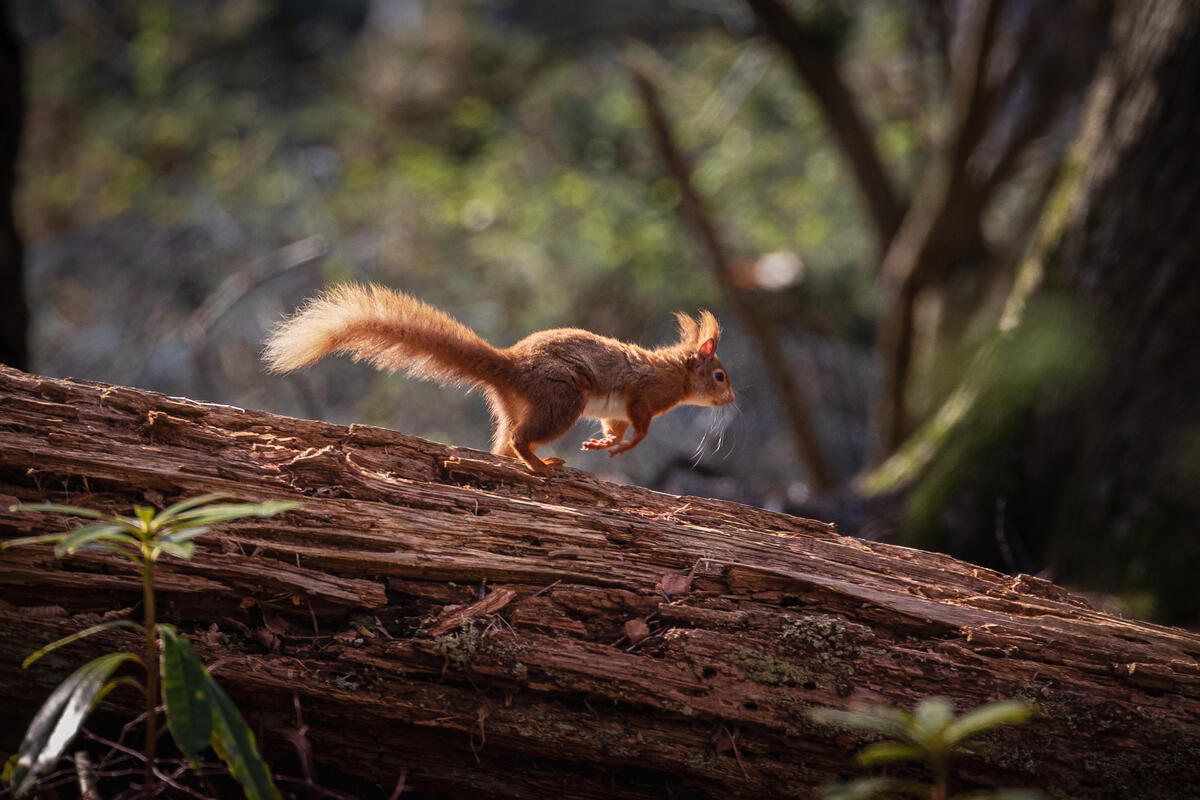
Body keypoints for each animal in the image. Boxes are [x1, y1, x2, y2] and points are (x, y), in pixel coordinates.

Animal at [263, 283, 734, 475]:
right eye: (719, 375)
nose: (730, 400)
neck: (676, 373)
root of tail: (511, 366)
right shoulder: (643, 394)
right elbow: (639, 428)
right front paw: (623, 448)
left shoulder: (616, 411)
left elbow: (614, 425)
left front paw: (603, 445)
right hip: (561, 402)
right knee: (520, 439)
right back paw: (540, 466)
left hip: (517, 407)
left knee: (504, 444)